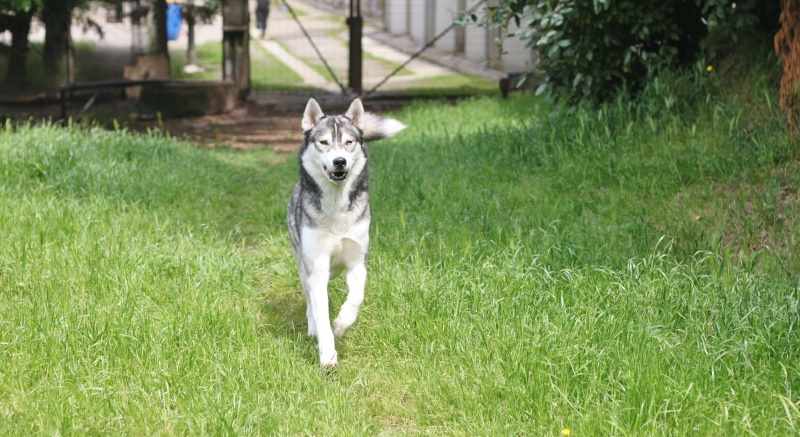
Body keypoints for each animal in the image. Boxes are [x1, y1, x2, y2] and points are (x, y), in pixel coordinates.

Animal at [288, 97, 406, 366]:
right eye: (323, 142)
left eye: (348, 142)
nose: (339, 161)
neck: (336, 207)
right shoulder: (317, 266)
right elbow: (321, 314)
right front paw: (328, 355)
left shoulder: (357, 262)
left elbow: (356, 297)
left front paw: (342, 324)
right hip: (302, 261)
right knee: (309, 297)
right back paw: (312, 327)